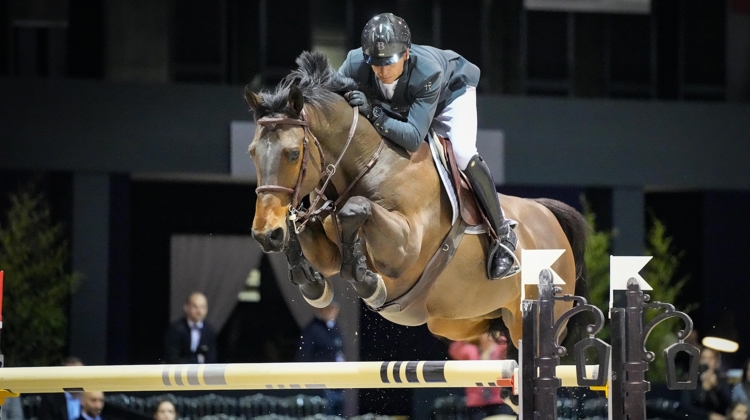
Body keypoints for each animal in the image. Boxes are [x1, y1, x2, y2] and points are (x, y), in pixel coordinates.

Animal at [244, 51, 592, 348]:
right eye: (252, 153)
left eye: (292, 153)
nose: (264, 234)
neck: (371, 163)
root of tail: (548, 215)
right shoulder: (328, 250)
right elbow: (310, 236)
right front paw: (311, 281)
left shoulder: (404, 250)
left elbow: (355, 210)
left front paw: (367, 282)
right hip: (458, 321)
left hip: (531, 318)